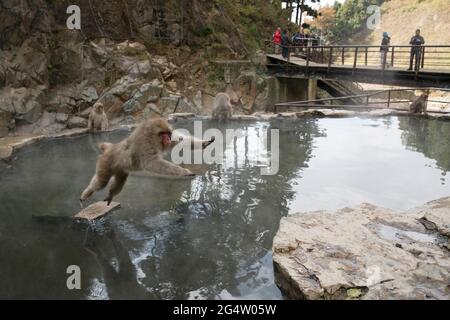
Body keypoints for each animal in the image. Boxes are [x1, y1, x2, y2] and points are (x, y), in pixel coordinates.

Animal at [80, 117, 215, 205]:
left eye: (168, 134)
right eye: (164, 134)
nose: (168, 139)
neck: (151, 137)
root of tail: (110, 148)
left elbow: (180, 142)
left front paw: (204, 143)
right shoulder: (144, 144)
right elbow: (151, 163)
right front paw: (184, 172)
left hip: (120, 170)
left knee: (119, 181)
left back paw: (111, 195)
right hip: (105, 163)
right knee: (101, 182)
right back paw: (87, 193)